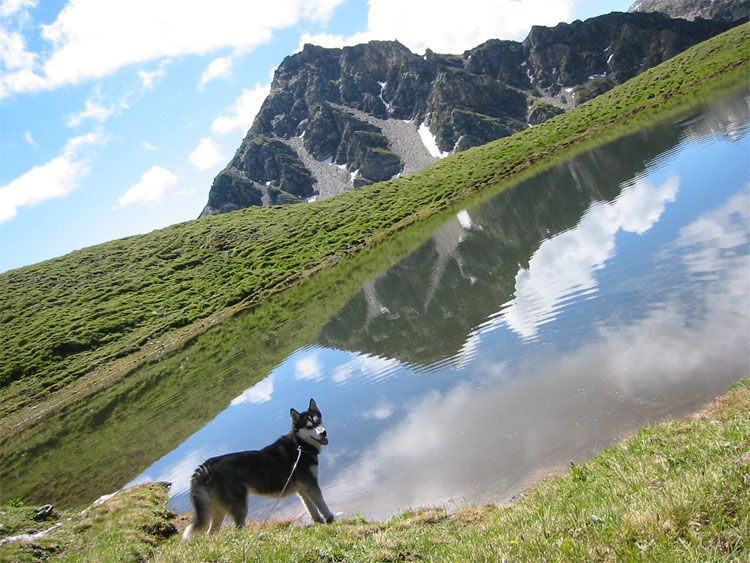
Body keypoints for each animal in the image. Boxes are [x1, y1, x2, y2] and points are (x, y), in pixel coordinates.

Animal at [182, 398, 334, 540]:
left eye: (318, 421)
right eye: (309, 426)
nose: (324, 433)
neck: (300, 446)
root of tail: (206, 466)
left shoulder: (302, 490)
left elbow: (312, 509)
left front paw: (319, 522)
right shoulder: (311, 485)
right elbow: (322, 505)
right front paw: (330, 518)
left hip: (218, 510)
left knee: (211, 532)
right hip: (240, 505)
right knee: (238, 528)